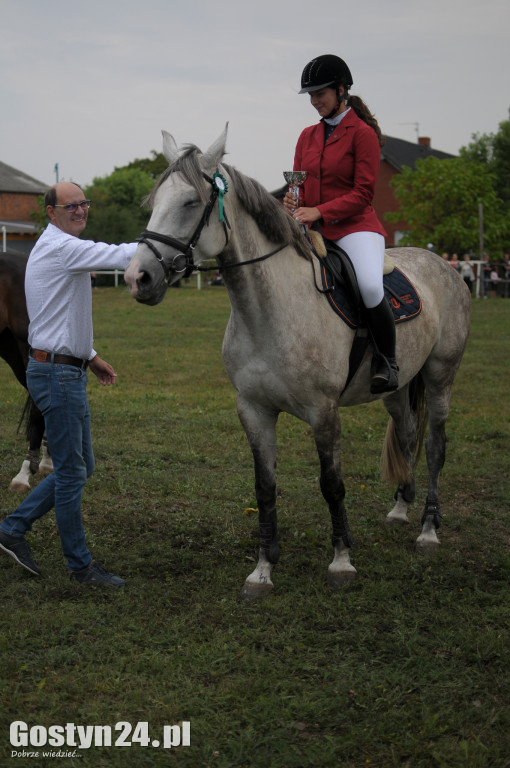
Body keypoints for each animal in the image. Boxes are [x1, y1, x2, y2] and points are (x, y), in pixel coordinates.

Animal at [123, 127, 470, 600]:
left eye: (191, 202)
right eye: (155, 201)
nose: (137, 278)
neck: (269, 310)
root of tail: (445, 266)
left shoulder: (323, 412)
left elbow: (332, 485)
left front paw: (341, 561)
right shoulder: (253, 410)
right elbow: (265, 487)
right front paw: (263, 570)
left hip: (440, 376)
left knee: (435, 446)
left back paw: (428, 531)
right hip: (396, 388)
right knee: (406, 434)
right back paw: (400, 509)